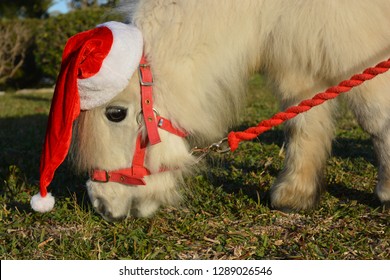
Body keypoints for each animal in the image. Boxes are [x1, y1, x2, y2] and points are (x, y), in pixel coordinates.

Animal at [68, 0, 390, 221]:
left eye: (115, 113)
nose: (101, 204)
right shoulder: (296, 54)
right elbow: (303, 121)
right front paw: (295, 194)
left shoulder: (354, 37)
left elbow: (375, 115)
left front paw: (387, 190)